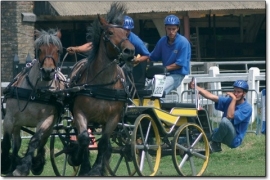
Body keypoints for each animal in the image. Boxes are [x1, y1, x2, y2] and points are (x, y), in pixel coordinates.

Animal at [1, 28, 66, 176]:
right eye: (39, 49)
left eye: (58, 50)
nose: (48, 71)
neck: (36, 93)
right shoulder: (10, 118)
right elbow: (7, 141)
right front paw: (6, 163)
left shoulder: (46, 120)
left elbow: (35, 141)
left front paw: (23, 168)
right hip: (18, 124)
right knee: (17, 142)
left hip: (50, 125)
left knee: (42, 142)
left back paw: (37, 163)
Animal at [66, 1, 135, 176]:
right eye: (110, 32)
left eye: (126, 33)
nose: (130, 51)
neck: (102, 85)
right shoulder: (80, 113)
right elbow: (84, 139)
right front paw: (80, 163)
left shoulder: (113, 118)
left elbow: (103, 143)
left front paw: (97, 169)